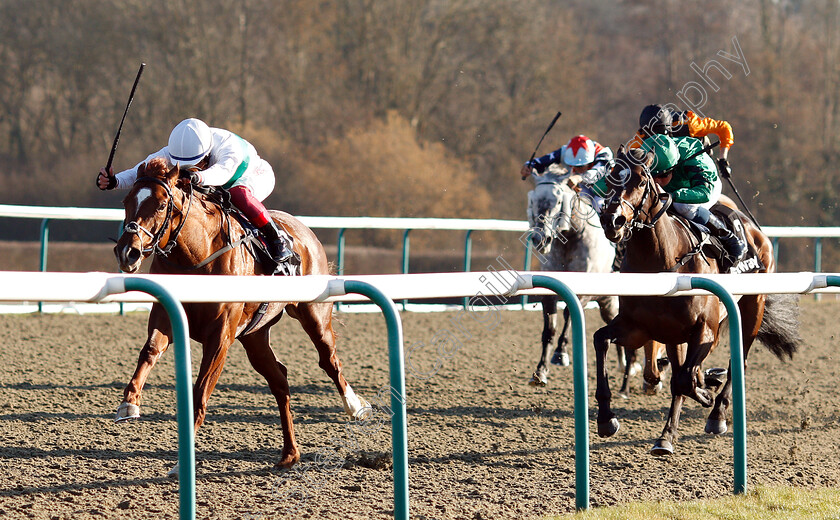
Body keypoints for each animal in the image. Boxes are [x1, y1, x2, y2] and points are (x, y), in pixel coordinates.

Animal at [113, 157, 370, 472]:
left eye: (162, 205)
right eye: (126, 201)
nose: (128, 252)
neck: (196, 255)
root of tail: (305, 230)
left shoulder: (220, 336)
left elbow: (200, 392)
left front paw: (181, 464)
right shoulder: (165, 314)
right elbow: (149, 351)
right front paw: (129, 402)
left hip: (313, 314)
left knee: (329, 361)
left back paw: (355, 407)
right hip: (254, 335)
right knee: (279, 380)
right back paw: (290, 454)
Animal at [520, 171, 668, 394]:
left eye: (558, 201)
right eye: (533, 200)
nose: (541, 239)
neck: (572, 239)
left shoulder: (584, 292)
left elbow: (569, 313)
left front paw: (560, 353)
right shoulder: (549, 292)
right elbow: (549, 328)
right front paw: (540, 372)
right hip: (608, 303)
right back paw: (627, 366)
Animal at [592, 146, 796, 456]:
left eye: (640, 181)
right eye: (611, 178)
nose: (612, 220)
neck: (662, 262)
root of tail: (755, 229)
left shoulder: (704, 329)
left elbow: (686, 379)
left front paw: (707, 395)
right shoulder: (637, 327)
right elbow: (601, 340)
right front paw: (606, 418)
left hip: (752, 307)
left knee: (738, 362)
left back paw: (716, 414)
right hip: (675, 333)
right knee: (682, 373)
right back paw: (666, 436)